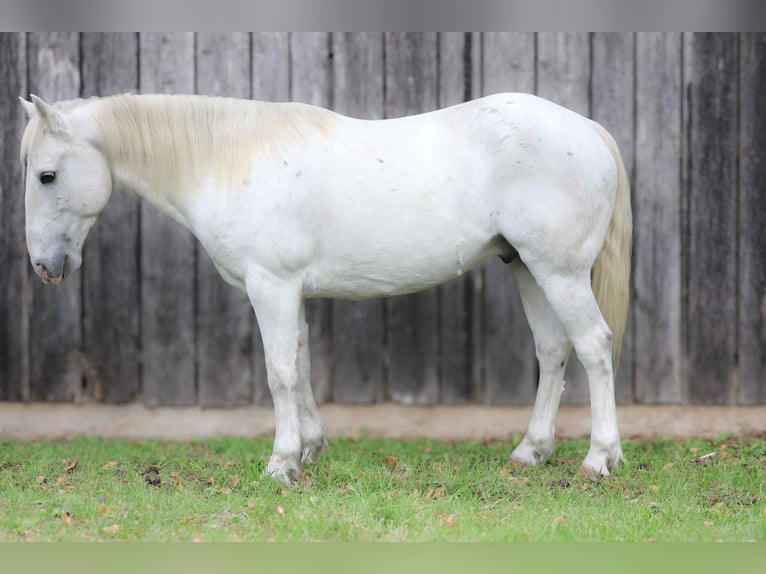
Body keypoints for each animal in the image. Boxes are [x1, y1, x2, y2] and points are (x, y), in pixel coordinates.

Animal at [19, 92, 631, 484]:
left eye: (46, 175)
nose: (45, 266)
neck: (230, 161)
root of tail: (591, 131)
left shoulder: (270, 287)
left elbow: (280, 372)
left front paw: (280, 464)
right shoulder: (291, 292)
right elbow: (302, 362)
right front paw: (309, 451)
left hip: (559, 272)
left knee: (594, 348)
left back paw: (598, 459)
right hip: (527, 267)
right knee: (552, 353)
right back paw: (530, 452)